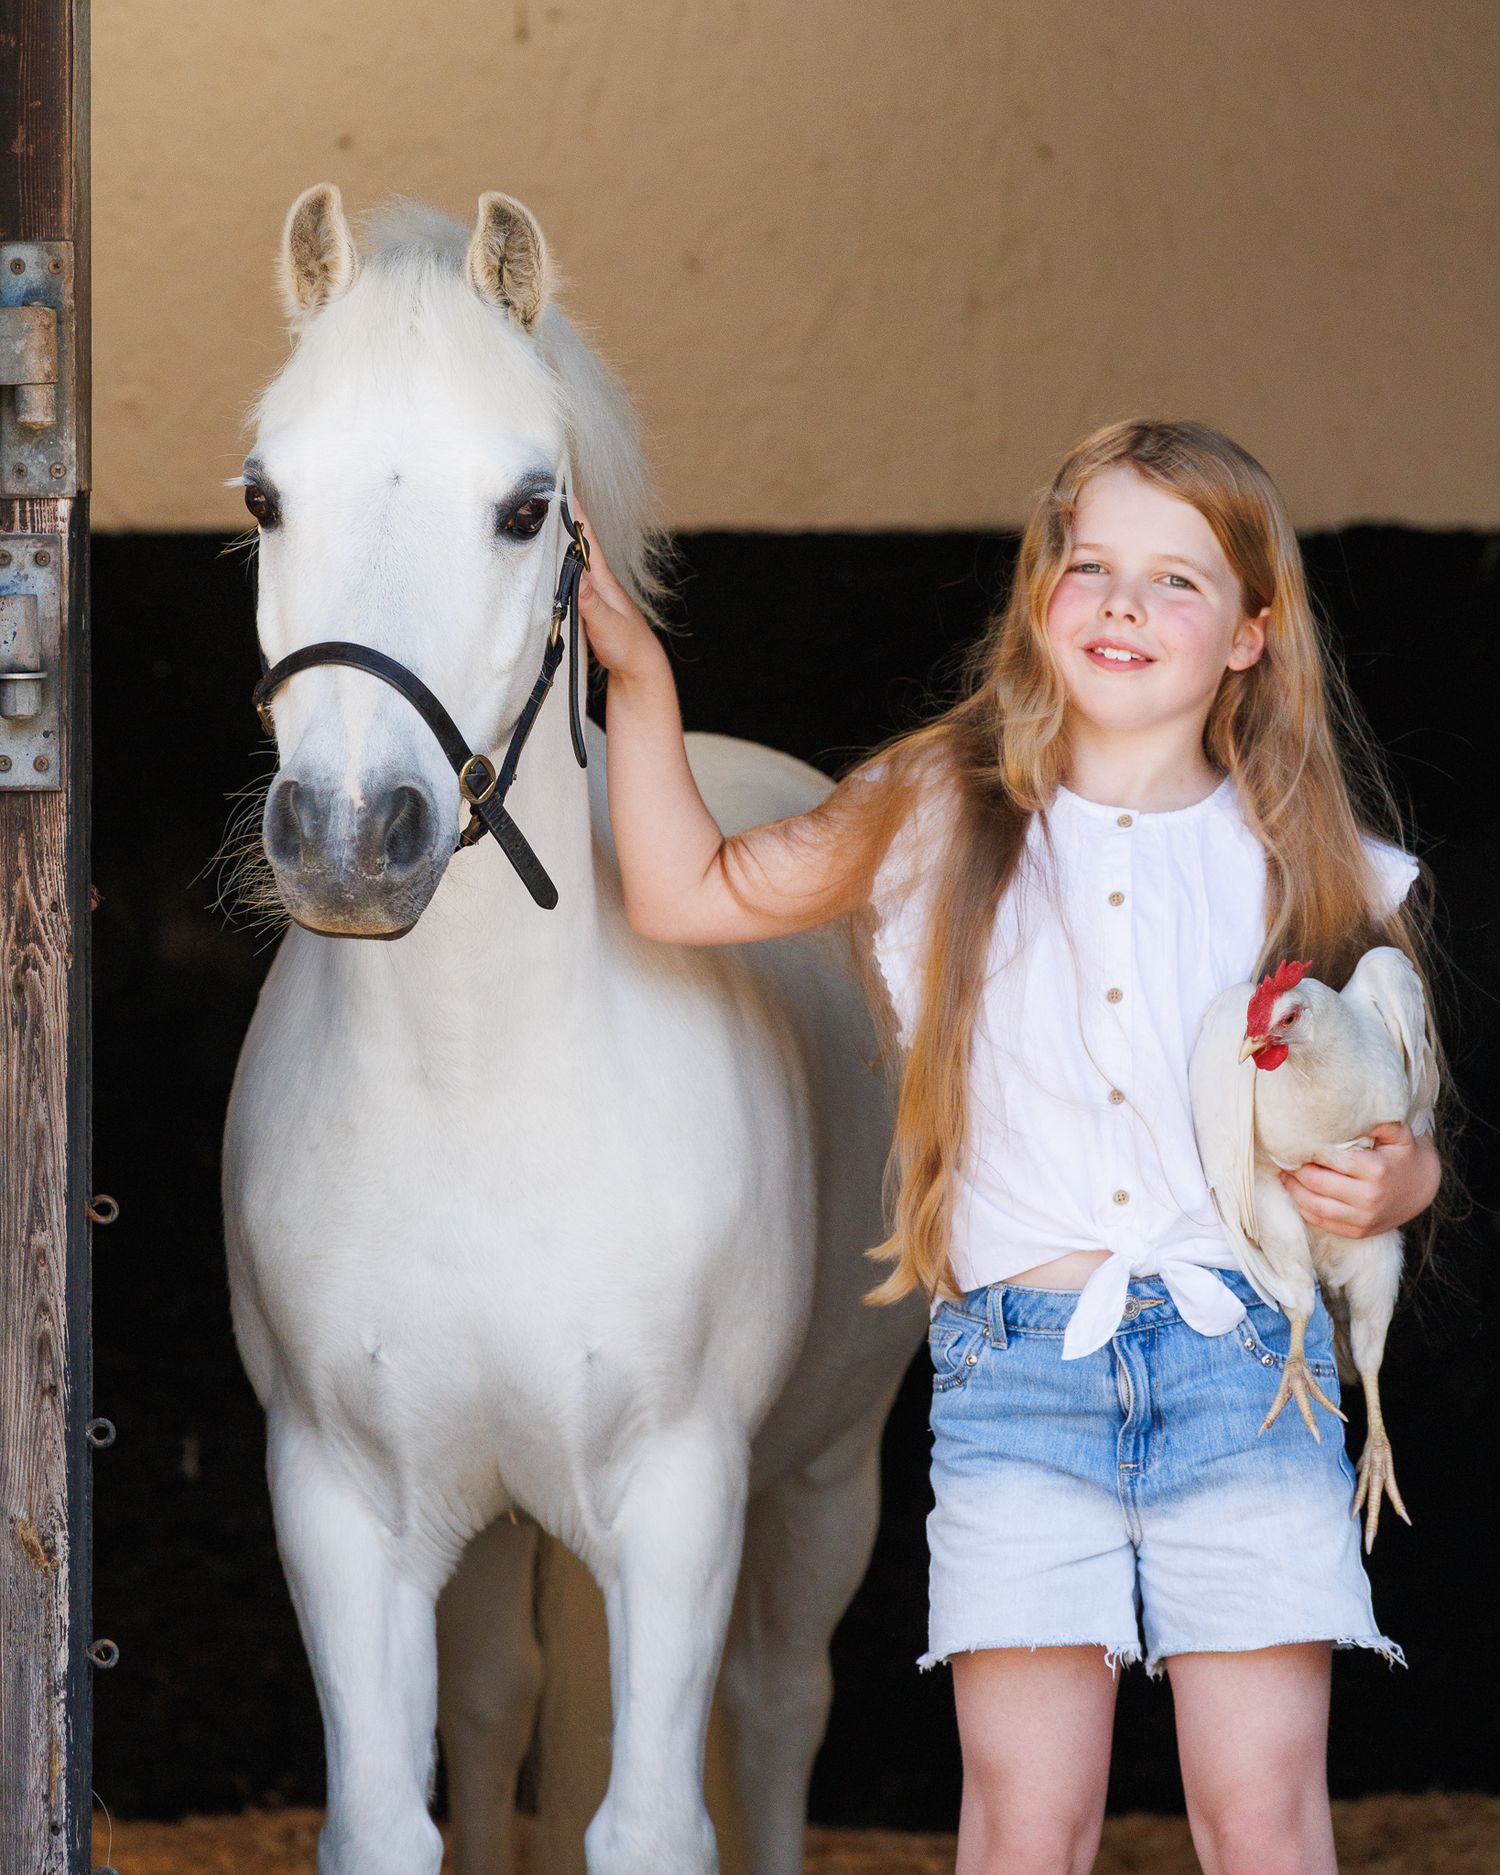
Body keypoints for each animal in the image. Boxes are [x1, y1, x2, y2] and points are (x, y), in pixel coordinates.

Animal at [221, 184, 924, 1875]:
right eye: (267, 493)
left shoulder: (679, 1503)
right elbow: (391, 1815)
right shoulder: (343, 1504)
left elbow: (657, 1817)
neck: (480, 1086)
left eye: (528, 507)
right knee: (495, 1697)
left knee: (779, 1705)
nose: (351, 838)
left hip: (823, 1478)